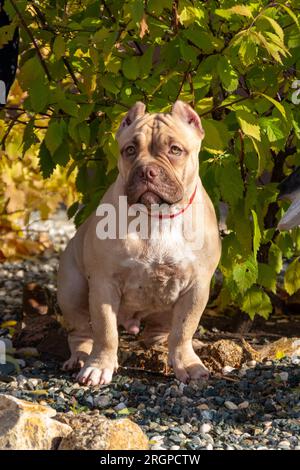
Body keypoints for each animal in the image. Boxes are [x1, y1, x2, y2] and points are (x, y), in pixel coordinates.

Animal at [57, 102, 221, 386]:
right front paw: (100, 366)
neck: (157, 217)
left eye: (175, 150)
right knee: (81, 330)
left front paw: (186, 363)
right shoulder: (103, 284)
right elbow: (106, 331)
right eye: (130, 150)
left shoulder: (196, 286)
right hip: (72, 290)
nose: (146, 170)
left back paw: (164, 350)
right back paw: (80, 357)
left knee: (162, 332)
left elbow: (184, 329)